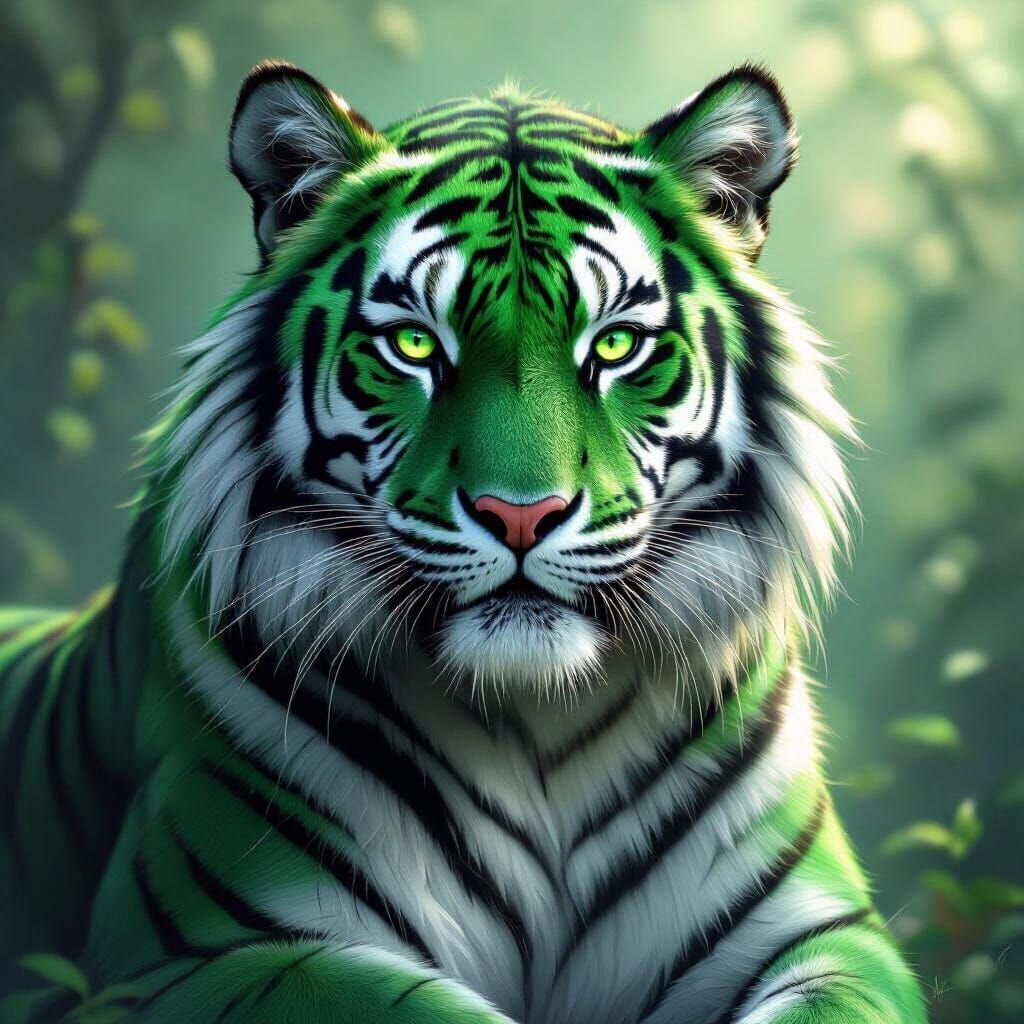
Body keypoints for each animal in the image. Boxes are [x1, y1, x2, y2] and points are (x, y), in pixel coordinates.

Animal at [0, 60, 927, 1024]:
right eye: (414, 343)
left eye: (616, 346)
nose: (520, 515)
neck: (538, 721)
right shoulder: (186, 955)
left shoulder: (827, 935)